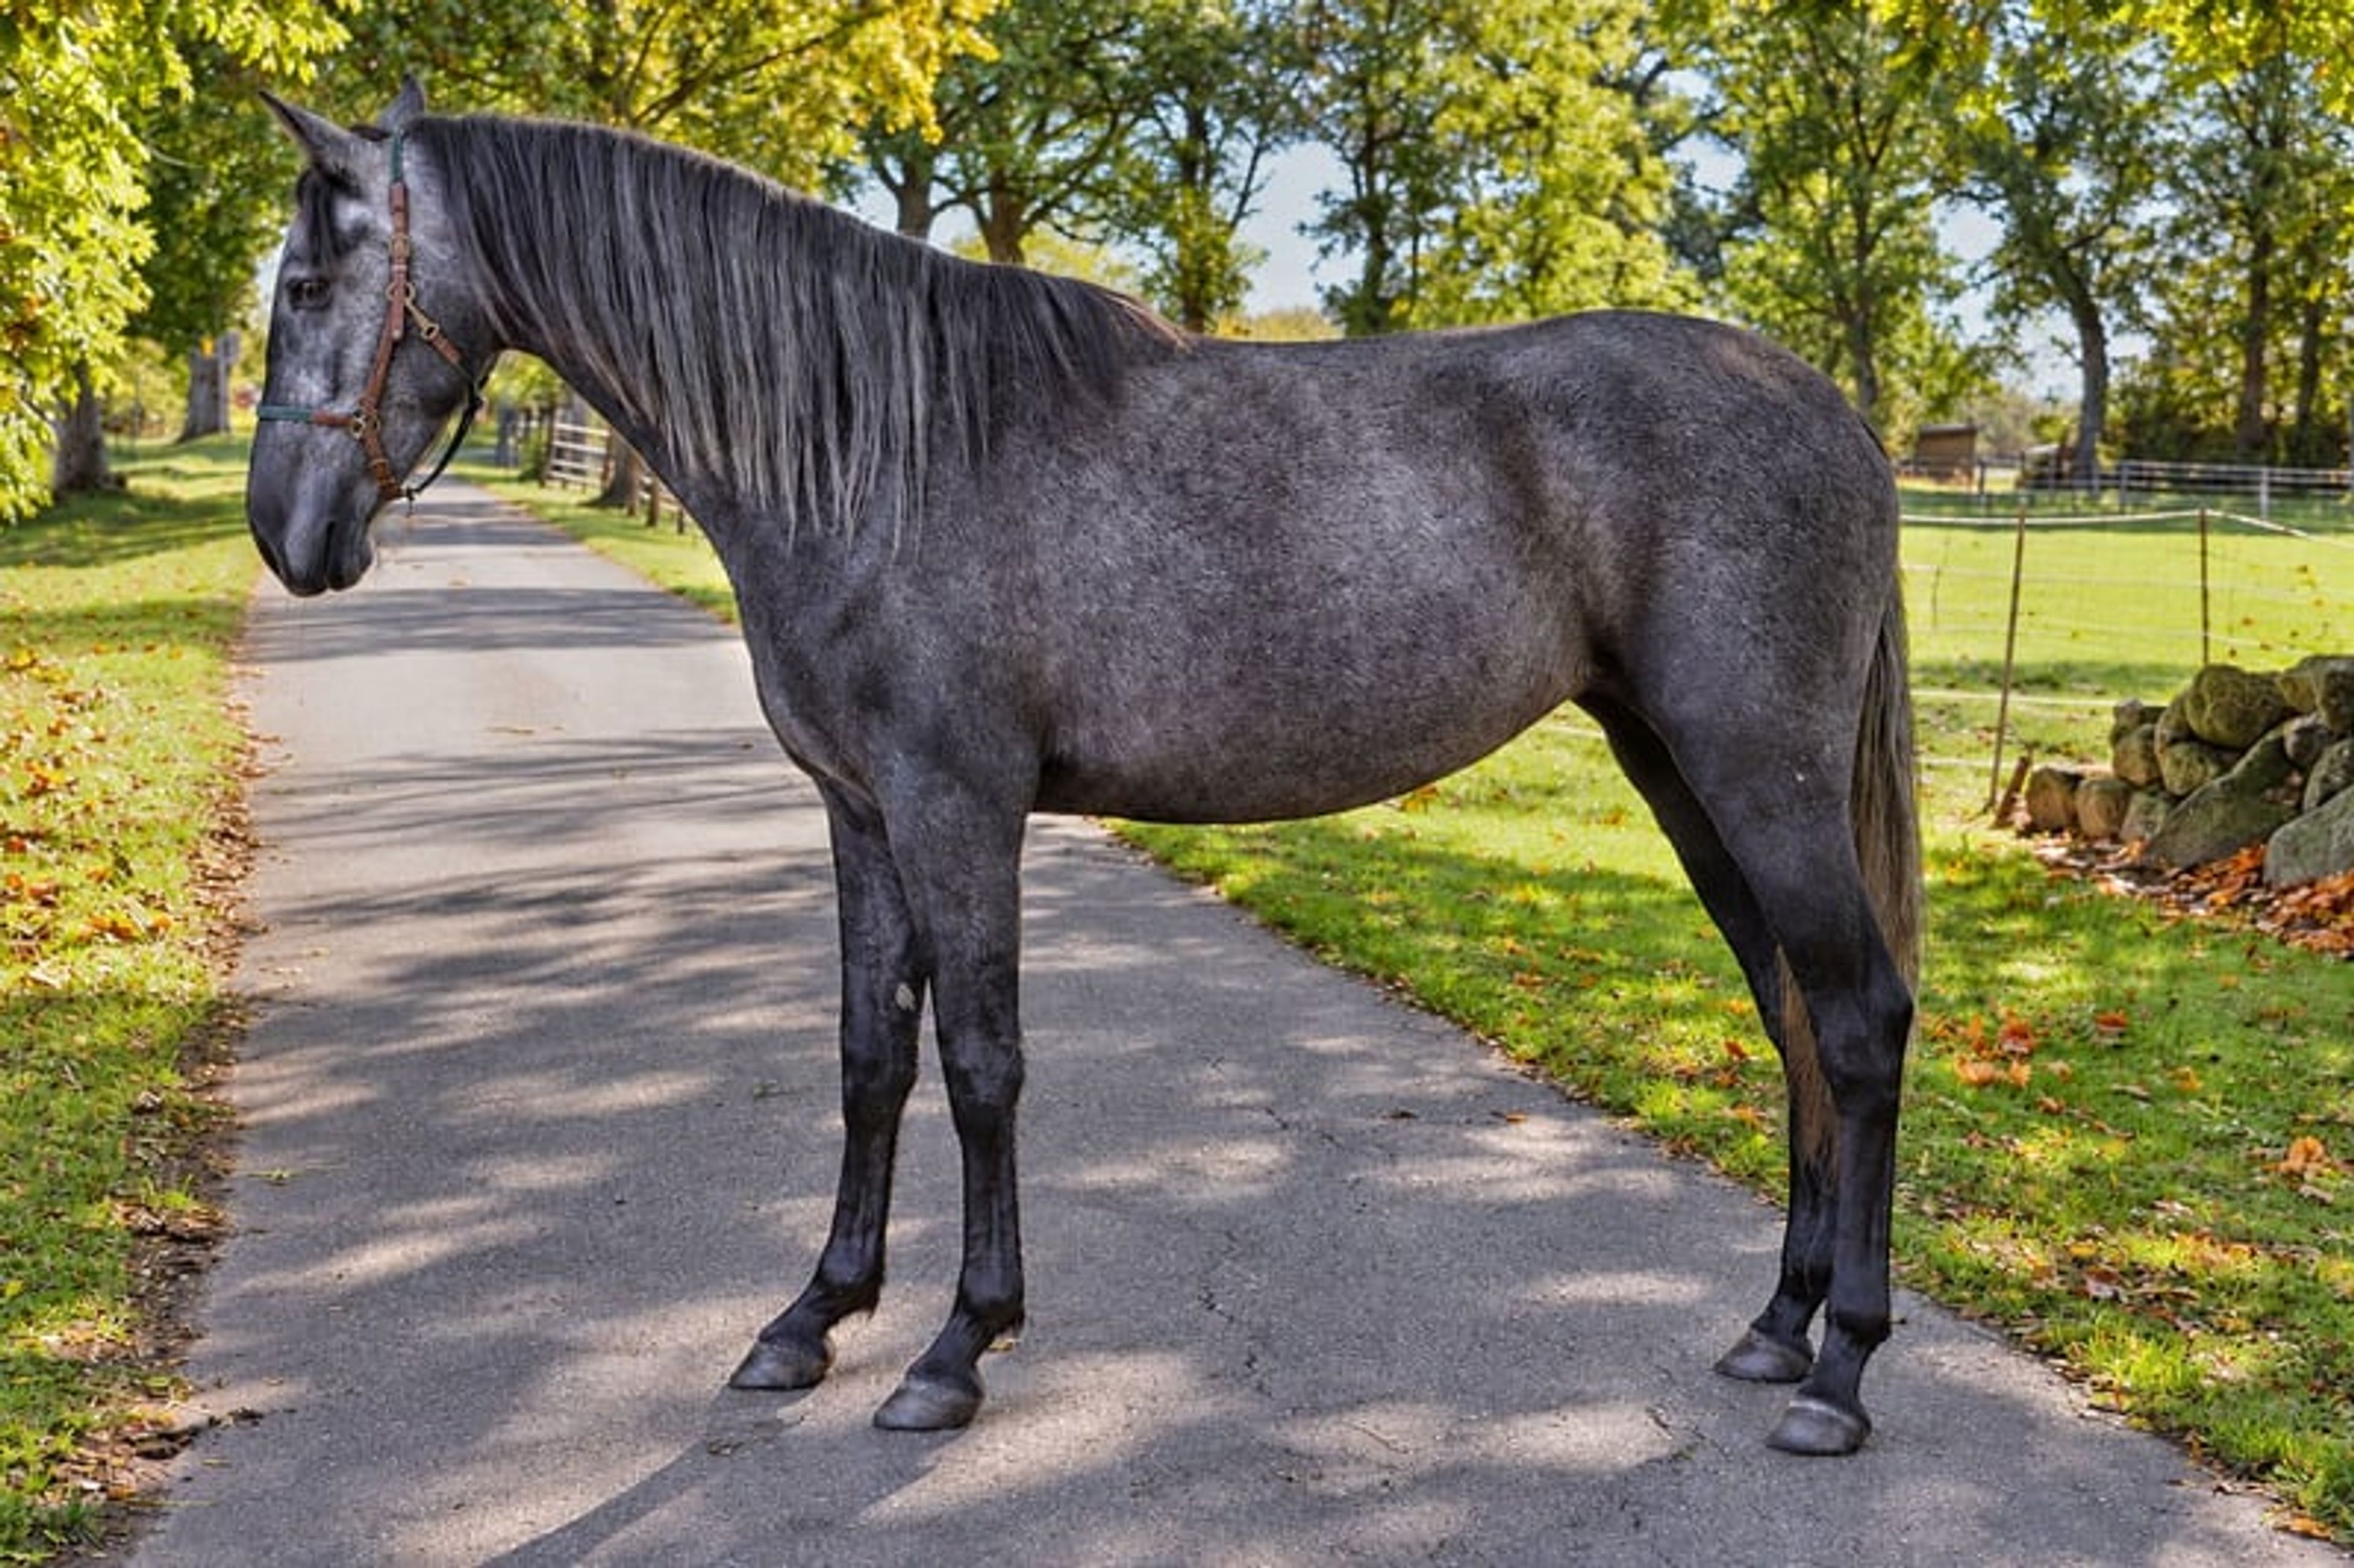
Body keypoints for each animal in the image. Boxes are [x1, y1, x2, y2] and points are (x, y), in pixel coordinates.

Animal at [245, 81, 1920, 1456]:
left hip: (1756, 780)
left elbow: (983, 1065)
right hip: (1684, 777)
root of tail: (1829, 410)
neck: (876, 452)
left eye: (310, 283)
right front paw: (812, 1319)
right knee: (1788, 1012)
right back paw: (1775, 1326)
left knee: (1856, 1020)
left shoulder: (958, 809)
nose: (286, 535)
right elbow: (869, 1059)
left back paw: (1843, 1370)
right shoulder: (861, 815)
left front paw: (954, 1349)